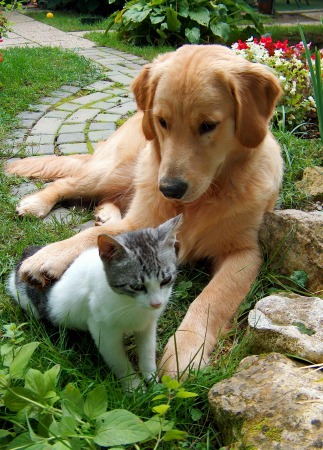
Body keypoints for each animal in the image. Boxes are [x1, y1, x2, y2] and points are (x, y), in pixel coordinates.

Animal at [5, 44, 284, 376]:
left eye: (208, 125)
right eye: (163, 121)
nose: (170, 189)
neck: (205, 197)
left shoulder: (245, 253)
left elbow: (211, 299)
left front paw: (184, 352)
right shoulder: (143, 221)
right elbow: (89, 237)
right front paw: (48, 256)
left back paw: (105, 213)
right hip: (115, 170)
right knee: (69, 182)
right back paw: (36, 203)